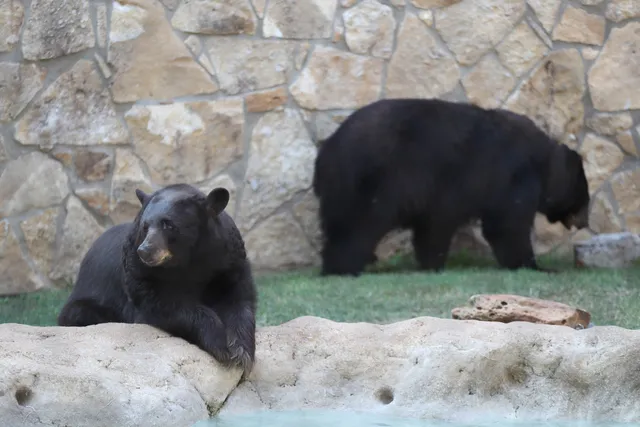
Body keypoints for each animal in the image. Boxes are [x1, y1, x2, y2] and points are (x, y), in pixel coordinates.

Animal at [57, 183, 257, 377]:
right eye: (145, 226)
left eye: (169, 225)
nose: (145, 250)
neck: (188, 259)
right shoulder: (138, 271)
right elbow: (162, 305)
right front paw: (219, 343)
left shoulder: (228, 260)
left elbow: (238, 298)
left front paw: (241, 352)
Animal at [312, 98, 591, 277]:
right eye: (585, 197)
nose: (585, 221)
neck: (543, 163)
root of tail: (327, 151)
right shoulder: (509, 176)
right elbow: (506, 224)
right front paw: (535, 265)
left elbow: (433, 225)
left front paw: (430, 263)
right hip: (376, 180)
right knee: (360, 224)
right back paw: (343, 267)